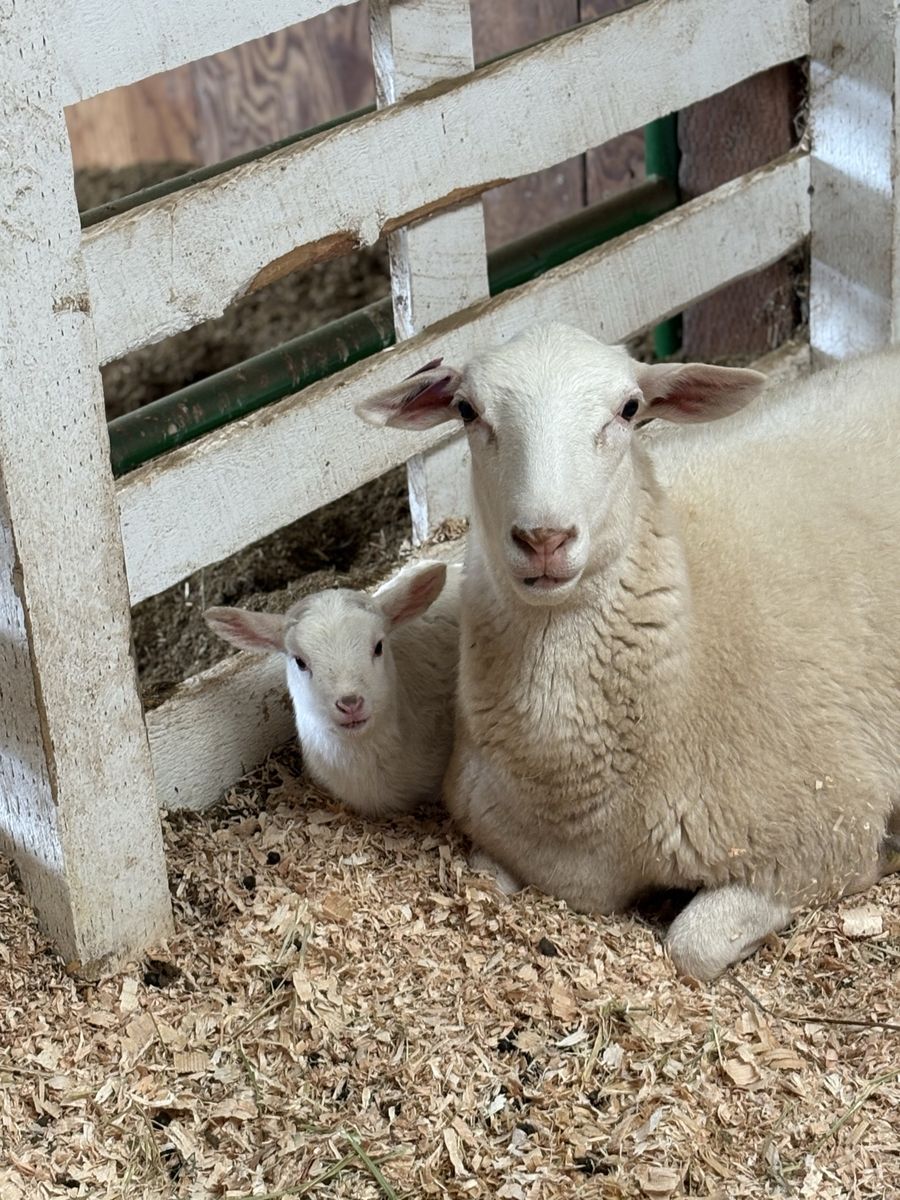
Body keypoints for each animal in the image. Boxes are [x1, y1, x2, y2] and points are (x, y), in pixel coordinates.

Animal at [357, 322, 900, 980]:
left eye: (629, 409)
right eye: (466, 410)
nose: (544, 538)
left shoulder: (821, 835)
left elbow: (692, 945)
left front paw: (887, 858)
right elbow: (483, 880)